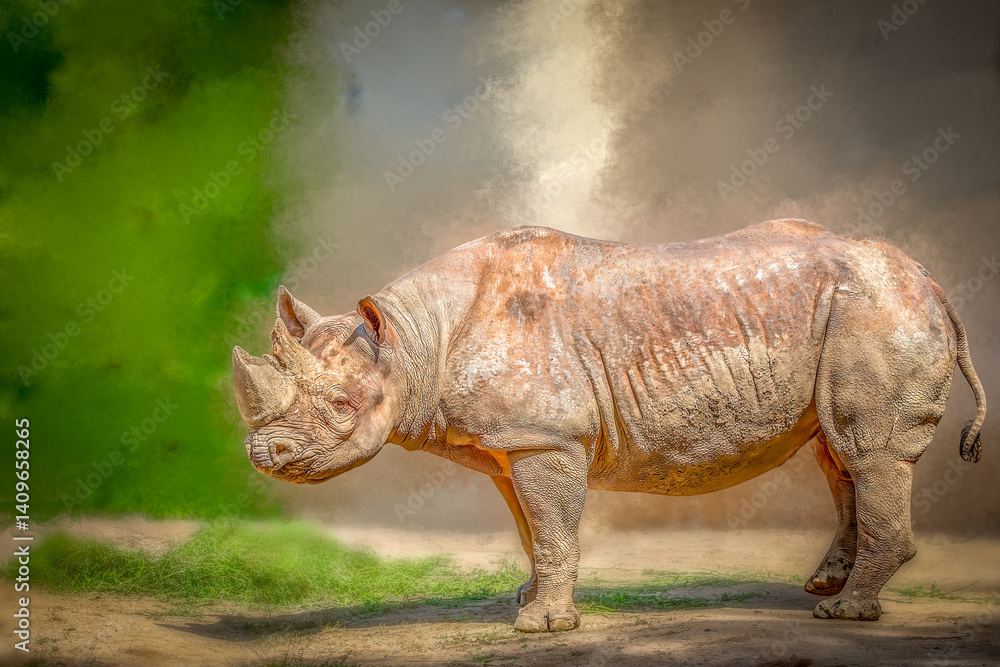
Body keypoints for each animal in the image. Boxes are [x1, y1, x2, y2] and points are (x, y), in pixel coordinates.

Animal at [233, 219, 986, 632]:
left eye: (341, 407)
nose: (263, 454)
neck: (416, 339)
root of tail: (932, 281)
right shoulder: (513, 442)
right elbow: (532, 528)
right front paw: (526, 601)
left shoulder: (545, 435)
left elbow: (552, 526)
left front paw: (541, 627)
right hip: (856, 315)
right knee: (840, 454)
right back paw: (827, 587)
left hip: (877, 311)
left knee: (868, 450)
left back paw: (843, 614)